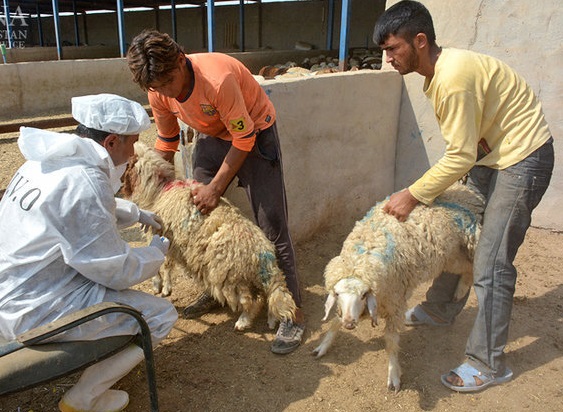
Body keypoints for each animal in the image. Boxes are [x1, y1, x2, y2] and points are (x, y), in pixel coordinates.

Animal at [121, 143, 298, 330]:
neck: (159, 190)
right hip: (244, 276)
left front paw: (162, 286)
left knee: (252, 301)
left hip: (230, 277)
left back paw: (243, 321)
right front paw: (162, 286)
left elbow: (164, 265)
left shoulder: (163, 236)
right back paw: (271, 319)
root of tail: (262, 253)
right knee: (267, 295)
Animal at [312, 182, 484, 392]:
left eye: (363, 295)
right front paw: (323, 345)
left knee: (471, 266)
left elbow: (391, 342)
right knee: (465, 267)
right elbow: (335, 322)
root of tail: (464, 189)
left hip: (459, 247)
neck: (361, 257)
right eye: (336, 294)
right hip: (450, 256)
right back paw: (460, 291)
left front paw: (393, 374)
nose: (350, 324)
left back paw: (462, 289)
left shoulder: (395, 303)